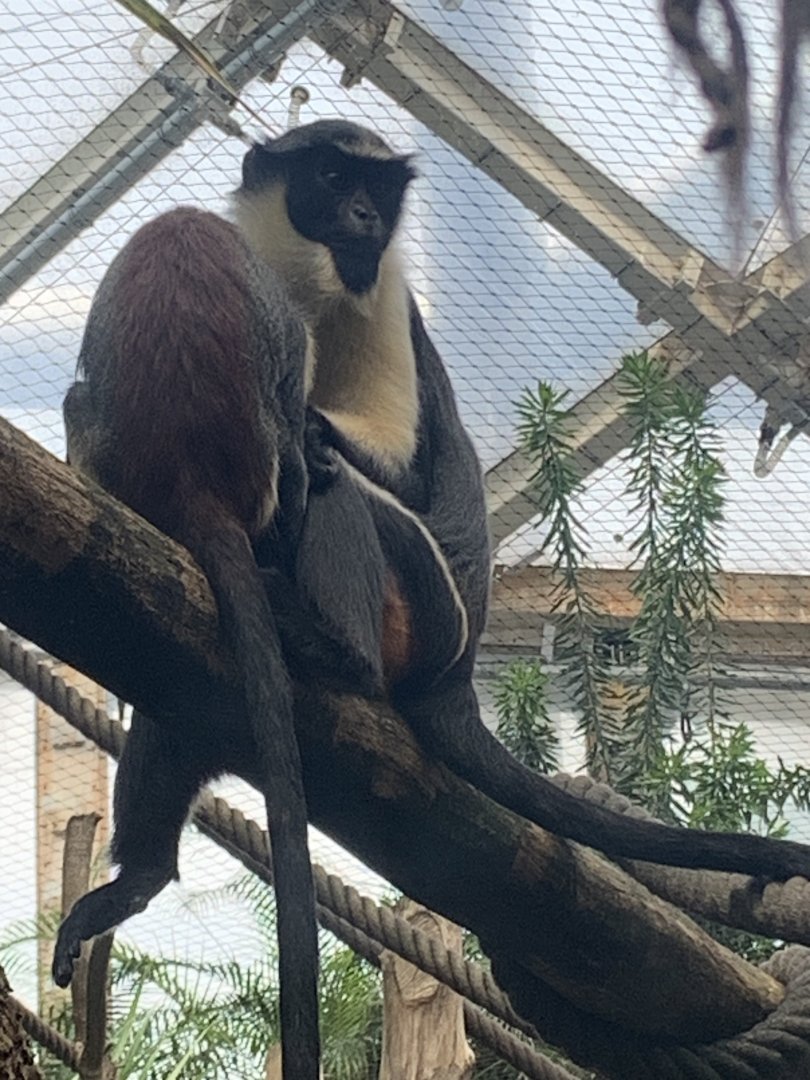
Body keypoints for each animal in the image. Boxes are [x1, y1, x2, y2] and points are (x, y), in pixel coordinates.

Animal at [234, 118, 810, 882]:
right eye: (333, 178)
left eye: (378, 190)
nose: (365, 217)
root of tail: (456, 681)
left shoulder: (387, 300)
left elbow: (408, 478)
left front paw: (303, 428)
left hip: (424, 614)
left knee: (337, 483)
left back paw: (332, 641)